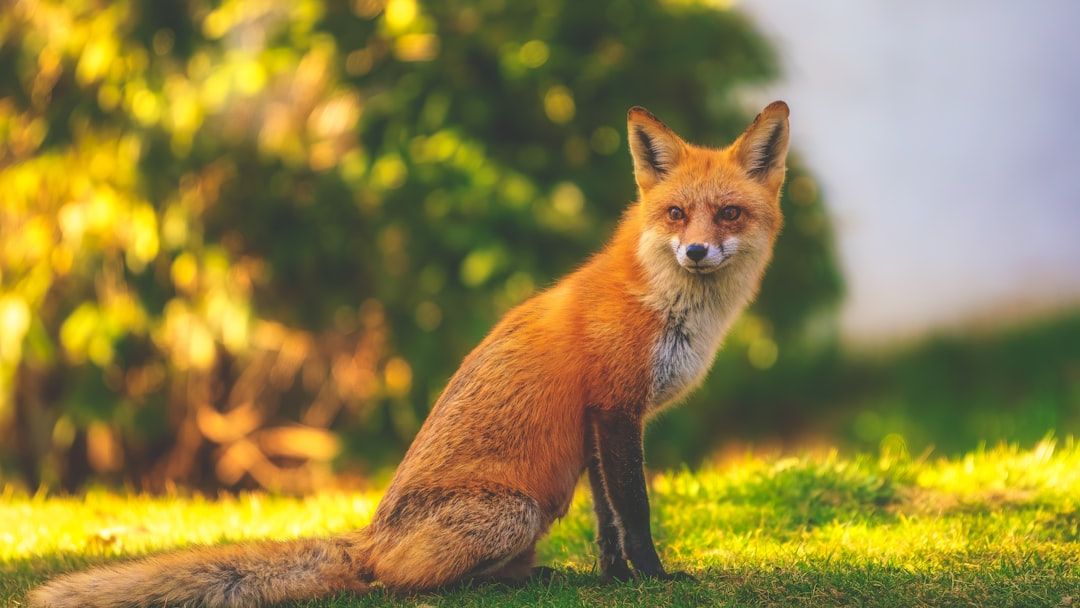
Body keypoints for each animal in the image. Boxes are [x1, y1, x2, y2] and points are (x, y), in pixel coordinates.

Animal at [29, 101, 790, 607]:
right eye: (675, 215)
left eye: (728, 214)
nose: (697, 251)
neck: (663, 302)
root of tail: (368, 535)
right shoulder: (614, 409)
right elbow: (635, 512)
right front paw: (655, 578)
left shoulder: (604, 421)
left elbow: (609, 521)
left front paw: (615, 580)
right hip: (515, 511)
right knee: (393, 581)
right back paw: (491, 582)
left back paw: (537, 574)